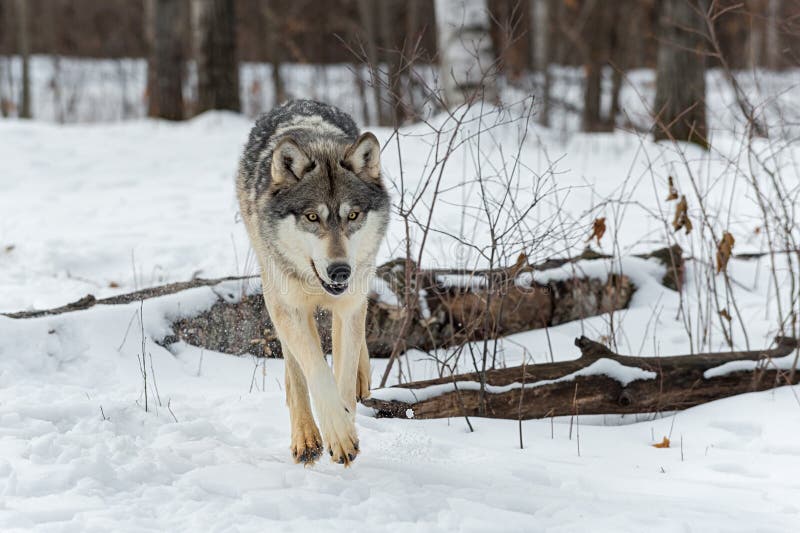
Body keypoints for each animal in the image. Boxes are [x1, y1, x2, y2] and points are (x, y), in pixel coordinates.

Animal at [236, 100, 390, 466]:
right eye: (311, 217)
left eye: (353, 215)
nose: (340, 272)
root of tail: (299, 102)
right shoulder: (289, 308)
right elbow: (316, 371)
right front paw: (335, 433)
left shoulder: (349, 304)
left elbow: (342, 376)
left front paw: (345, 427)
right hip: (275, 293)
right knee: (295, 370)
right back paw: (305, 437)